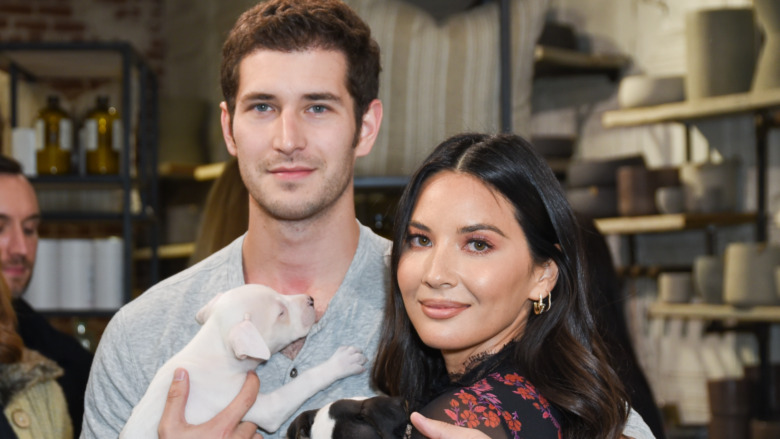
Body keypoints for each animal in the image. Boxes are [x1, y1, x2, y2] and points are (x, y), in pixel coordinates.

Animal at [119, 286, 368, 439]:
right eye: (281, 313)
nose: (311, 300)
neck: (216, 350)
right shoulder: (268, 409)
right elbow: (304, 382)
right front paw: (342, 362)